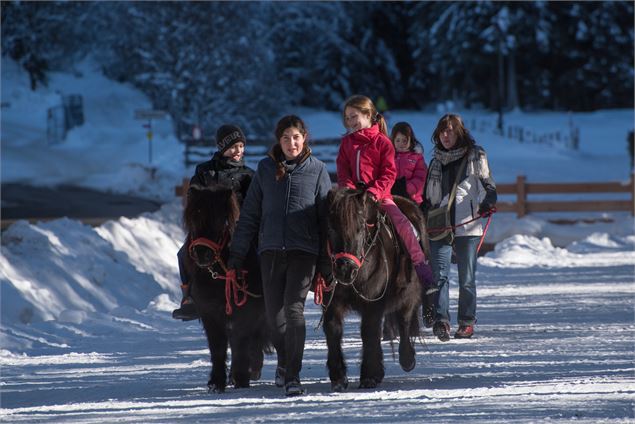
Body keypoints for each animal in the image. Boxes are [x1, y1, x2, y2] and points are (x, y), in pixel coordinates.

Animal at [184, 186, 274, 394]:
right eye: (193, 219)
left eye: (222, 221)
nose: (203, 253)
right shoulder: (210, 315)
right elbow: (217, 348)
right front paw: (216, 383)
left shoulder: (244, 313)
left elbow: (240, 342)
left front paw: (241, 378)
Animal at [322, 187, 428, 392]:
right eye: (330, 228)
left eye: (360, 228)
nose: (344, 269)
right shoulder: (332, 303)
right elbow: (333, 330)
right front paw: (338, 377)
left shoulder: (373, 304)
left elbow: (369, 332)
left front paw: (370, 375)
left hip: (409, 295)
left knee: (404, 322)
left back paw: (407, 359)